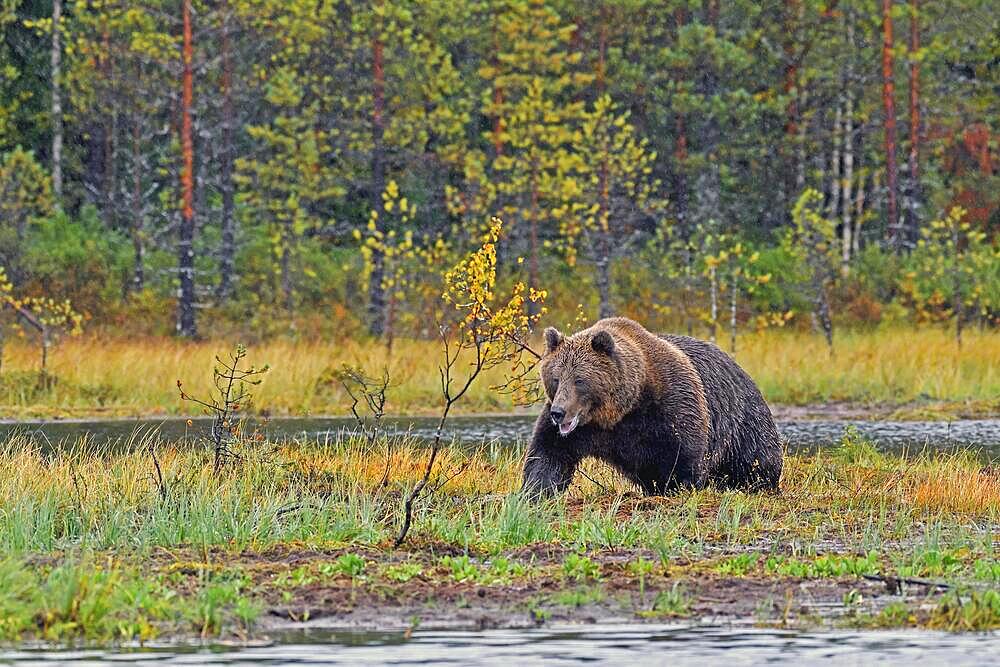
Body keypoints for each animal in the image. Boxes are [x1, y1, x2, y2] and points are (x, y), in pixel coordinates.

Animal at [520, 318, 784, 496]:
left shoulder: (669, 406)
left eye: (579, 380)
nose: (559, 413)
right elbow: (548, 455)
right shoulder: (579, 432)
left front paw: (677, 488)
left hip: (742, 421)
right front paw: (535, 491)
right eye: (555, 378)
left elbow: (683, 456)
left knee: (755, 460)